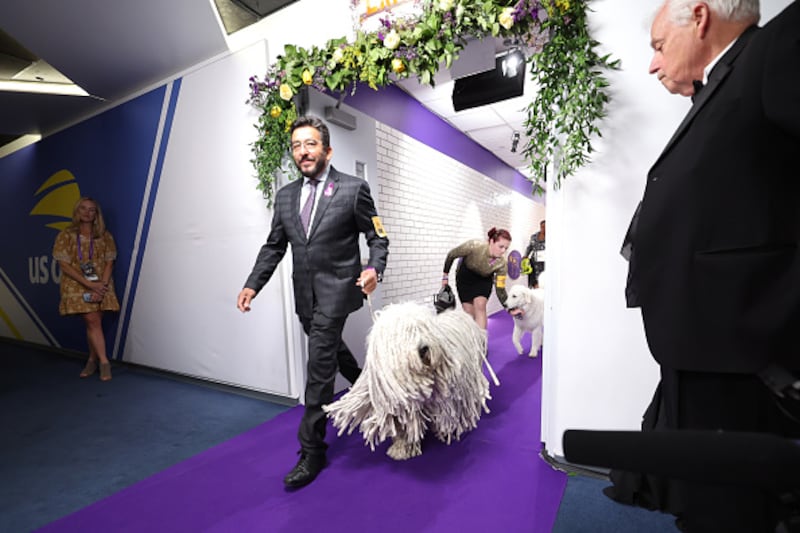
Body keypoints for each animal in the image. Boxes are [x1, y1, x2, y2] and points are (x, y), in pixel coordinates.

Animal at [323, 302, 492, 460]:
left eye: (423, 329)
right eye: (405, 334)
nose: (423, 348)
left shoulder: (447, 396)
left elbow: (448, 413)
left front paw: (447, 432)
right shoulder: (401, 407)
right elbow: (404, 428)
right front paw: (403, 448)